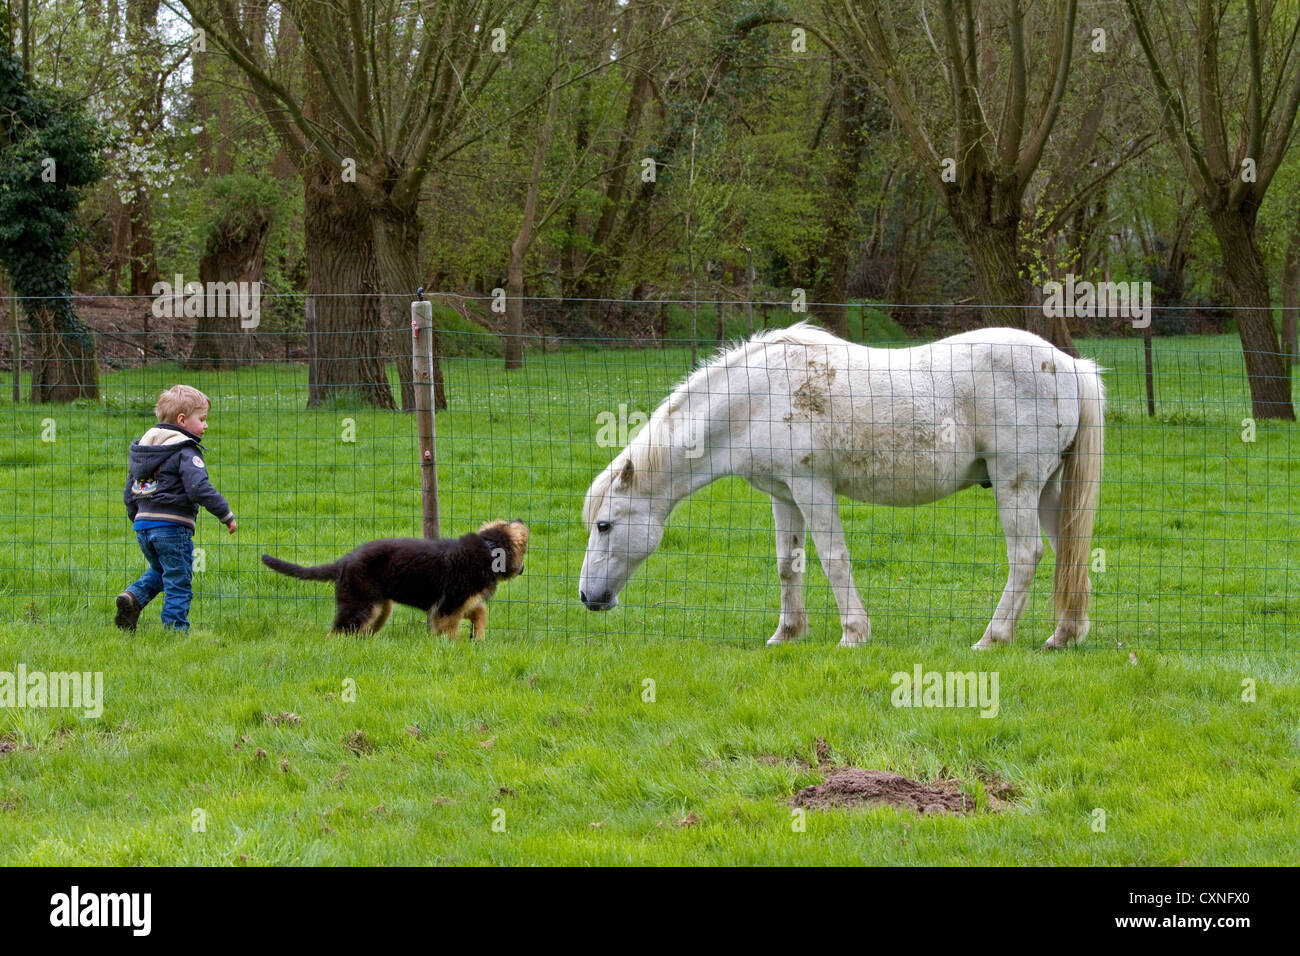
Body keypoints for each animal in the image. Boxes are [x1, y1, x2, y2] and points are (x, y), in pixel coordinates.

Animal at [261, 520, 530, 639]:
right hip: (361, 604)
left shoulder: (459, 603)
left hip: (380, 608)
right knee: (338, 632)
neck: (489, 549)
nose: (520, 520)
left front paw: (478, 638)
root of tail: (343, 562)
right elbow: (452, 631)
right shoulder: (448, 607)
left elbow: (480, 612)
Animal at [585, 323, 1102, 650]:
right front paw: (787, 634)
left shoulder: (812, 487)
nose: (589, 598)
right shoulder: (783, 494)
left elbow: (834, 559)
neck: (755, 398)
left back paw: (993, 638)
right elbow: (788, 565)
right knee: (1067, 552)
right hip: (1046, 490)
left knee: (1026, 555)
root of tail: (1068, 365)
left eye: (605, 525)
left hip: (1016, 485)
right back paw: (1064, 635)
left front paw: (853, 633)